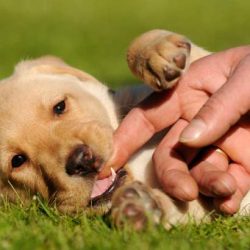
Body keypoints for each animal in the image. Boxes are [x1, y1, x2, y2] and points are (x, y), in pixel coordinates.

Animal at [0, 29, 249, 230]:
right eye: (18, 161)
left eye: (60, 106)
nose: (80, 161)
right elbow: (182, 206)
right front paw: (142, 206)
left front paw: (157, 51)